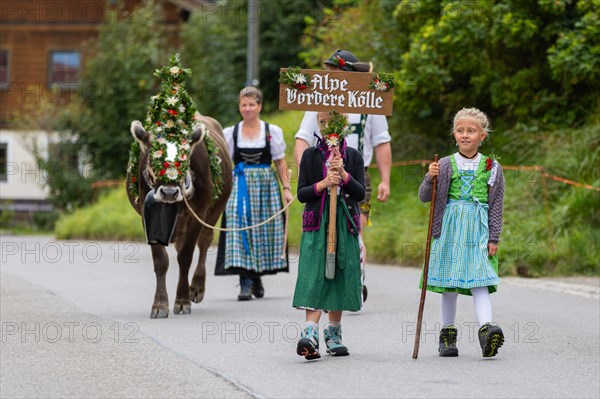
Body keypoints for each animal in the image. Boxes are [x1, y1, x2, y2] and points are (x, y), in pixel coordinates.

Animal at [126, 55, 232, 318]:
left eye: (185, 156)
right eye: (153, 154)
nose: (169, 192)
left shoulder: (199, 212)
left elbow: (186, 256)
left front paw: (182, 300)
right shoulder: (147, 215)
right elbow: (160, 260)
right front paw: (159, 304)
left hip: (215, 208)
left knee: (204, 242)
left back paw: (196, 288)